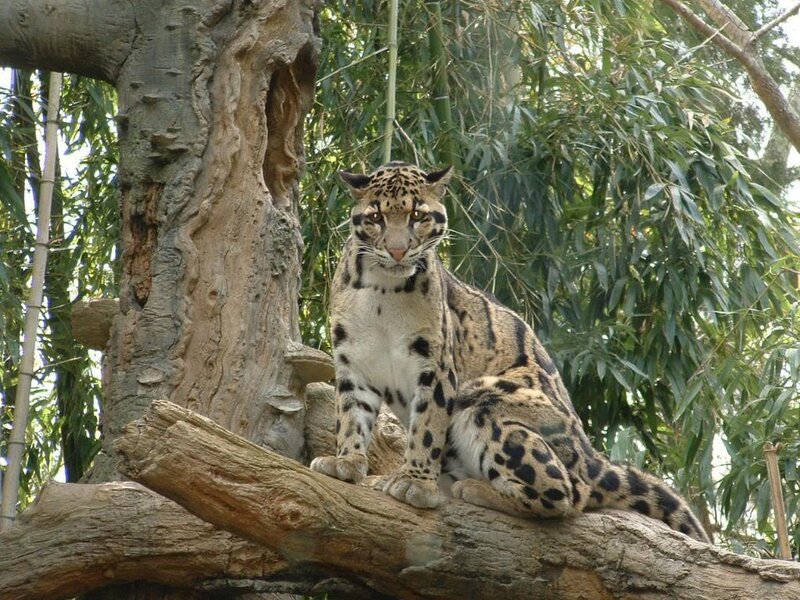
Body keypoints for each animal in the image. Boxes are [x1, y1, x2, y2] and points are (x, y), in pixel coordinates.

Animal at [310, 161, 710, 543]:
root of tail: (592, 458)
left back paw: (472, 489)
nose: (397, 250)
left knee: (567, 494)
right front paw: (347, 462)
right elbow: (350, 415)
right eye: (376, 217)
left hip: (485, 396)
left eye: (418, 216)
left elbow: (426, 425)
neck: (382, 291)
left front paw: (416, 482)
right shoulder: (352, 361)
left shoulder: (436, 366)